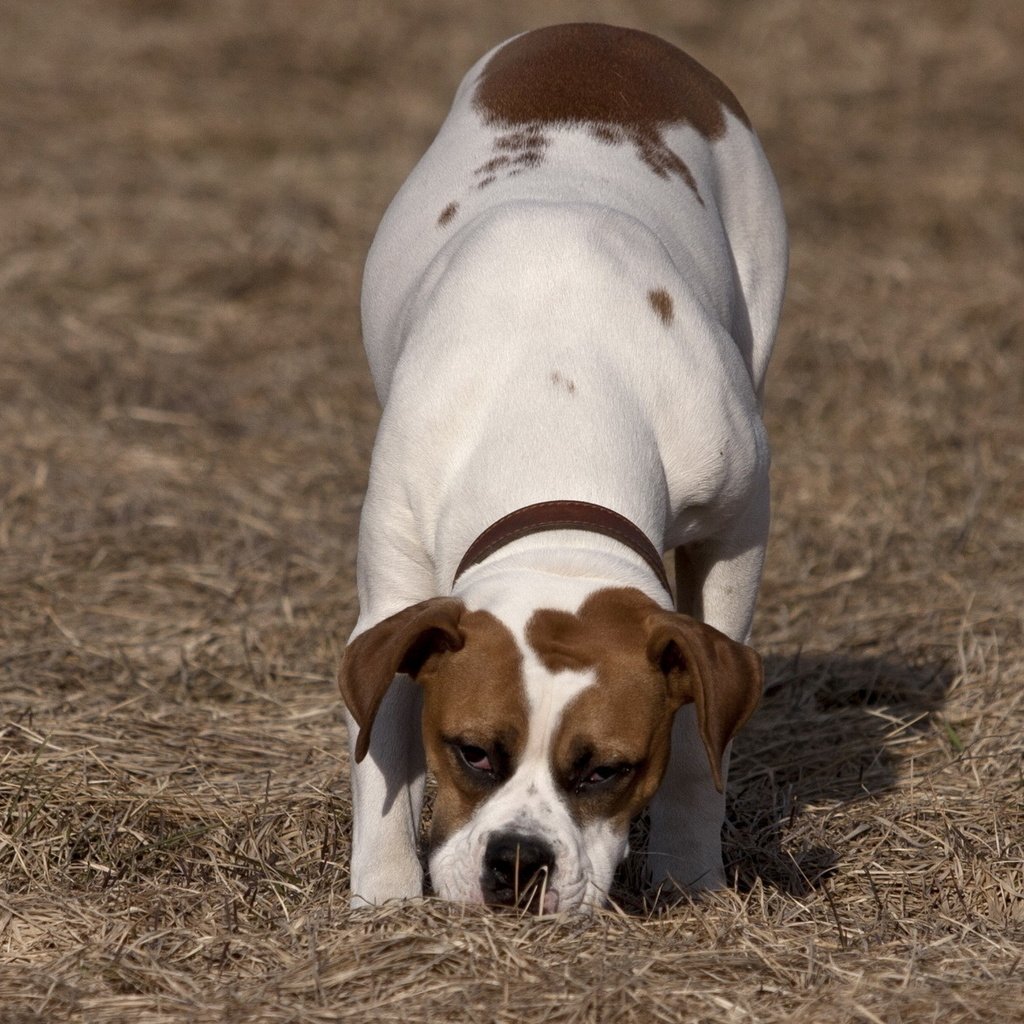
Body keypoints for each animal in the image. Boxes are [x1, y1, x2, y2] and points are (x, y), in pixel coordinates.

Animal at [339, 22, 786, 913]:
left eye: (607, 769)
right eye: (472, 751)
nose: (518, 862)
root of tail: (600, 32)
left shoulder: (734, 534)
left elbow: (699, 750)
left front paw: (691, 877)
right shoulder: (393, 598)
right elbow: (382, 757)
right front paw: (383, 900)